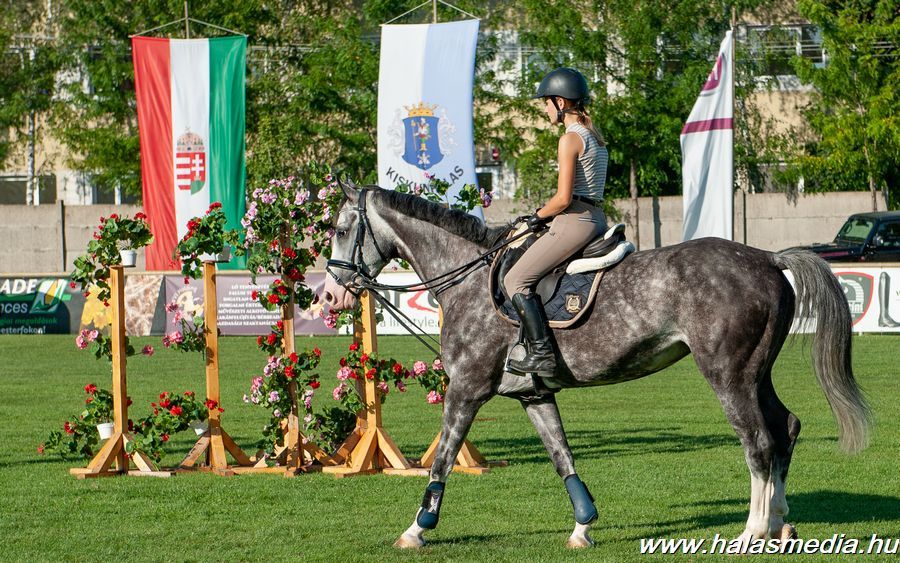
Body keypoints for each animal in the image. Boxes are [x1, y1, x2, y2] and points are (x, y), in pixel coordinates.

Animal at [320, 182, 868, 552]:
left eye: (342, 230)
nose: (330, 294)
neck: (469, 280)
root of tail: (768, 258)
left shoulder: (467, 389)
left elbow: (443, 460)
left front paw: (416, 529)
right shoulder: (533, 394)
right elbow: (563, 457)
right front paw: (583, 526)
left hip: (728, 376)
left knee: (758, 442)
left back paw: (752, 530)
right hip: (757, 373)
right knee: (785, 428)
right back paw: (780, 523)